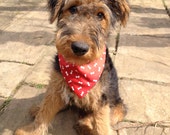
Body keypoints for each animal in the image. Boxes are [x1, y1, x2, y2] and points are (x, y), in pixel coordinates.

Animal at [14, 0, 129, 134]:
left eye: (100, 15)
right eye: (73, 8)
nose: (79, 48)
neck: (78, 69)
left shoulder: (101, 98)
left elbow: (101, 124)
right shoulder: (56, 86)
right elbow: (45, 111)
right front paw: (32, 130)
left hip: (118, 107)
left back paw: (84, 126)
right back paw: (38, 108)